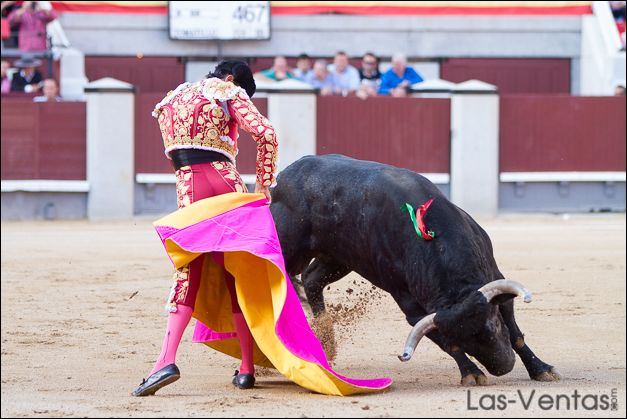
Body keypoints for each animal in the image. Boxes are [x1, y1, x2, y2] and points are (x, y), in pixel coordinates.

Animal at [268, 155, 560, 388]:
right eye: (462, 338)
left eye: (493, 324)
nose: (503, 367)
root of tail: (284, 177)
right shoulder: (411, 306)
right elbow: (446, 343)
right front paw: (471, 373)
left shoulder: (495, 279)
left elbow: (515, 333)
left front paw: (542, 369)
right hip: (292, 249)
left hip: (338, 257)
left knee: (311, 279)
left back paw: (326, 341)